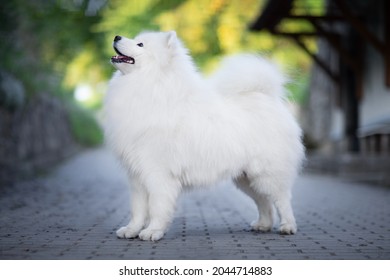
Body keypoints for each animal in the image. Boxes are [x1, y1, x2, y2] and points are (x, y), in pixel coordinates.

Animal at [103, 30, 304, 241]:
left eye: (140, 44)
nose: (116, 37)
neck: (150, 85)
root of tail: (267, 97)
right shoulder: (137, 176)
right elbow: (138, 209)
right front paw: (131, 230)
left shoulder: (158, 173)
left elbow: (157, 207)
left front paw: (152, 231)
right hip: (246, 178)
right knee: (264, 202)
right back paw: (262, 225)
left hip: (267, 173)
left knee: (282, 199)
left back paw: (288, 226)